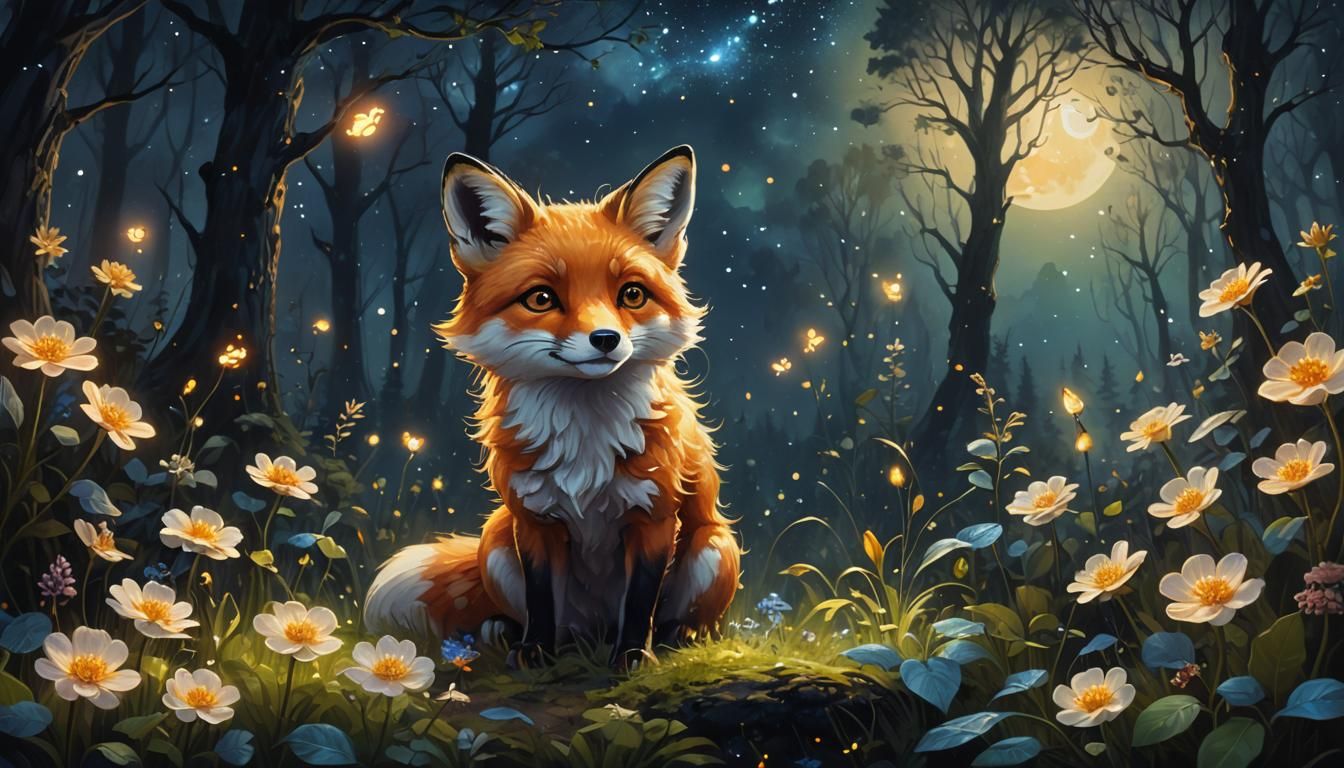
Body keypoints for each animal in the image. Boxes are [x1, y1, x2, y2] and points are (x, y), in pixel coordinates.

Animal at [364, 145, 740, 669]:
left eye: (632, 294)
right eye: (541, 298)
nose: (606, 340)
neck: (586, 437)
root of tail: (594, 631)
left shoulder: (654, 517)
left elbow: (640, 600)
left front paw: (632, 657)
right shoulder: (535, 520)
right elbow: (541, 598)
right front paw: (535, 653)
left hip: (714, 547)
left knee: (679, 620)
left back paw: (674, 639)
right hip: (497, 539)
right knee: (549, 623)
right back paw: (510, 636)